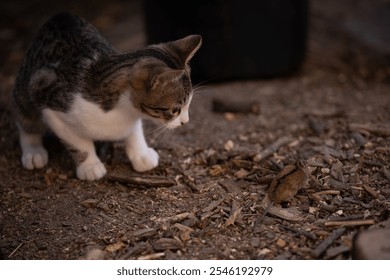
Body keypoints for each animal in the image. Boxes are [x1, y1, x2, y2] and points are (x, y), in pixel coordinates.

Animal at [11, 12, 203, 180]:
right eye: (175, 109)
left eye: (189, 104)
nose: (185, 122)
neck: (121, 110)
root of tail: (59, 16)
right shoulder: (51, 107)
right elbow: (77, 142)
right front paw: (89, 165)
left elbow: (134, 130)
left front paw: (140, 154)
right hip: (27, 86)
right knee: (25, 119)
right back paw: (33, 151)